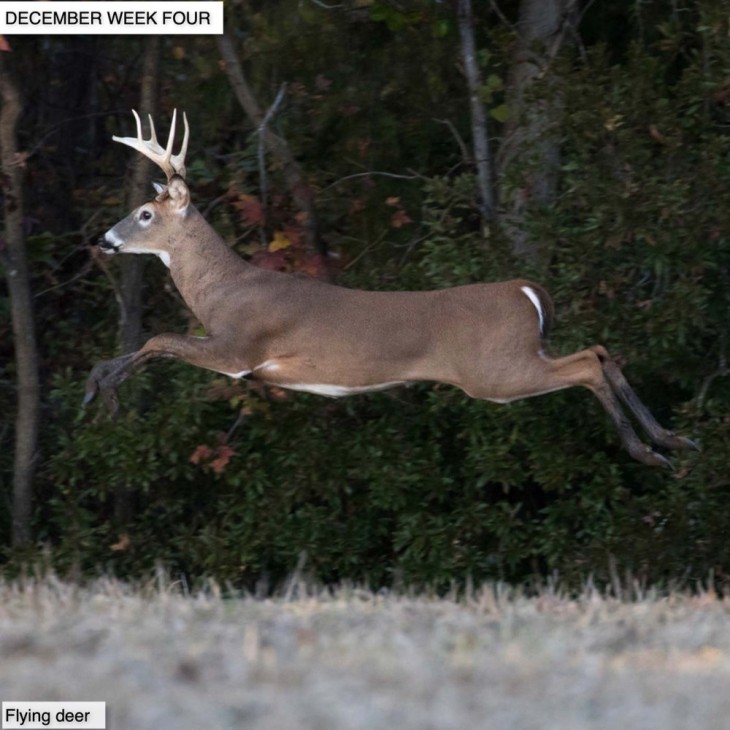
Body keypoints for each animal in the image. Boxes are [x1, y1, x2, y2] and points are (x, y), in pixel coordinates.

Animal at [85, 110, 698, 468]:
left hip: (495, 370)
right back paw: (673, 440)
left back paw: (648, 452)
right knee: (601, 349)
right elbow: (157, 343)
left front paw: (103, 390)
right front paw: (99, 387)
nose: (105, 240)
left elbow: (159, 340)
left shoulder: (241, 349)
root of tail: (526, 290)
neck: (223, 289)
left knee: (589, 364)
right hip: (519, 356)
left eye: (144, 214)